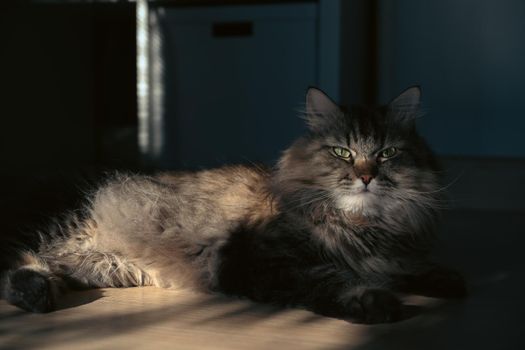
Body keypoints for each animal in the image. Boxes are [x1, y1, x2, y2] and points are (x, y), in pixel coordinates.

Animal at [2, 87, 464, 322]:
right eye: (342, 153)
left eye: (386, 153)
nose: (366, 177)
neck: (362, 225)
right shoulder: (259, 261)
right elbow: (328, 280)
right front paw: (371, 302)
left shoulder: (388, 254)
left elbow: (403, 268)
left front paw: (441, 279)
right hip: (63, 227)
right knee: (18, 260)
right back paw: (36, 295)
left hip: (99, 265)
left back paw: (39, 294)